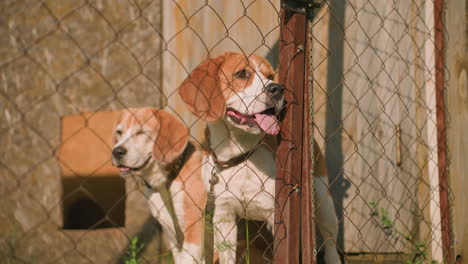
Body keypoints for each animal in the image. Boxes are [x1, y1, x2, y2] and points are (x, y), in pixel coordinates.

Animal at [111, 108, 210, 262]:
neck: (166, 182)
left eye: (141, 132)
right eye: (119, 132)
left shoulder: (193, 232)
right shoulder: (173, 236)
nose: (116, 152)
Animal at [179, 52, 340, 264]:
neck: (239, 154)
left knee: (330, 243)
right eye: (241, 73)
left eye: (270, 75)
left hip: (323, 202)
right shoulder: (224, 216)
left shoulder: (278, 216)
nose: (277, 88)